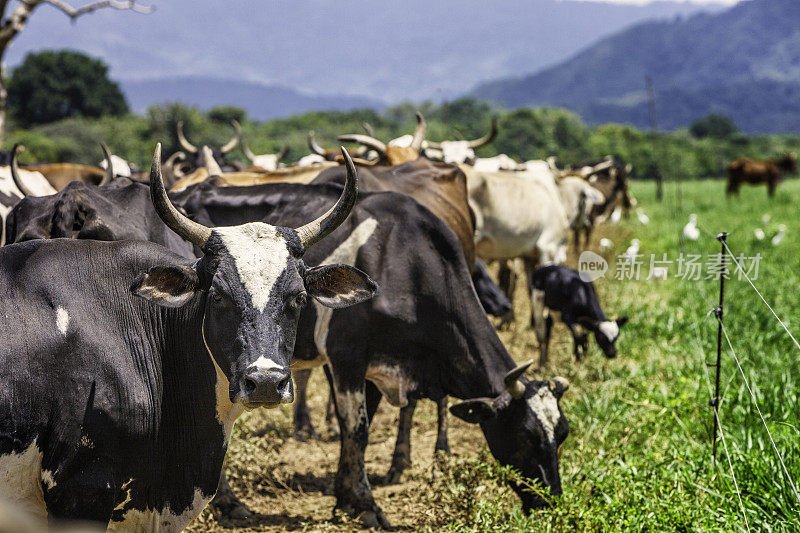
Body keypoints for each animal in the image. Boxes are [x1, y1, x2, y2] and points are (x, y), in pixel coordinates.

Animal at [178, 180, 572, 528]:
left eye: (563, 434)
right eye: (526, 436)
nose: (551, 502)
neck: (406, 262)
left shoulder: (374, 366)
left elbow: (355, 432)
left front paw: (344, 498)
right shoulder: (346, 357)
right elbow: (358, 428)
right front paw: (367, 506)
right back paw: (226, 501)